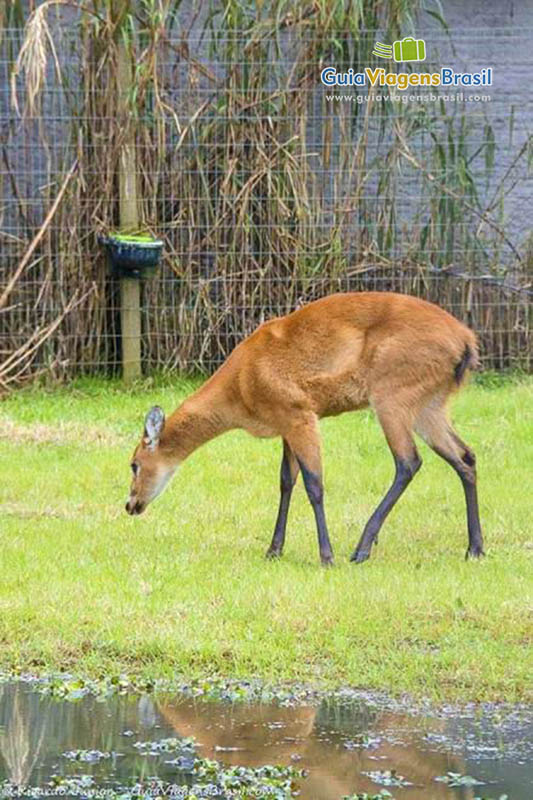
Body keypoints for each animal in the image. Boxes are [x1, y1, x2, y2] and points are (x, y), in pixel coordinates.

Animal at [123, 290, 482, 564]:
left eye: (134, 464)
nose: (130, 504)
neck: (241, 388)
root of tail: (467, 341)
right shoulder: (285, 423)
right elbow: (286, 481)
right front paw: (273, 550)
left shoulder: (301, 414)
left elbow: (314, 483)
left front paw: (326, 555)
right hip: (429, 403)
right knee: (465, 456)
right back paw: (475, 549)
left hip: (391, 395)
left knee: (408, 461)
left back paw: (360, 549)